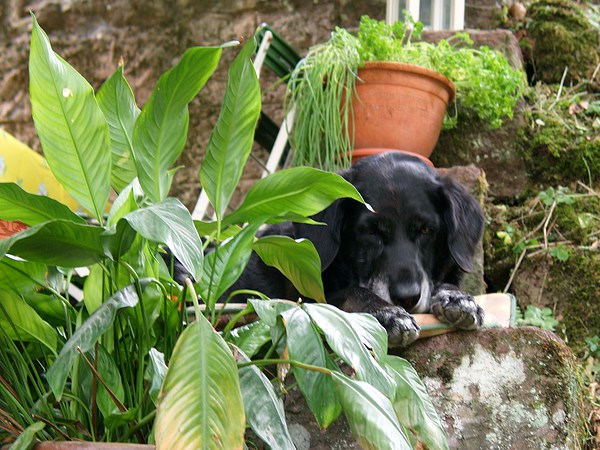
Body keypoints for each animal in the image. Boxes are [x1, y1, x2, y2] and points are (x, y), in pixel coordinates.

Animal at [232, 153, 486, 346]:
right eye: (371, 231)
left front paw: (457, 296)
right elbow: (352, 292)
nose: (407, 298)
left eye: (425, 229)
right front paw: (387, 313)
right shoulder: (305, 301)